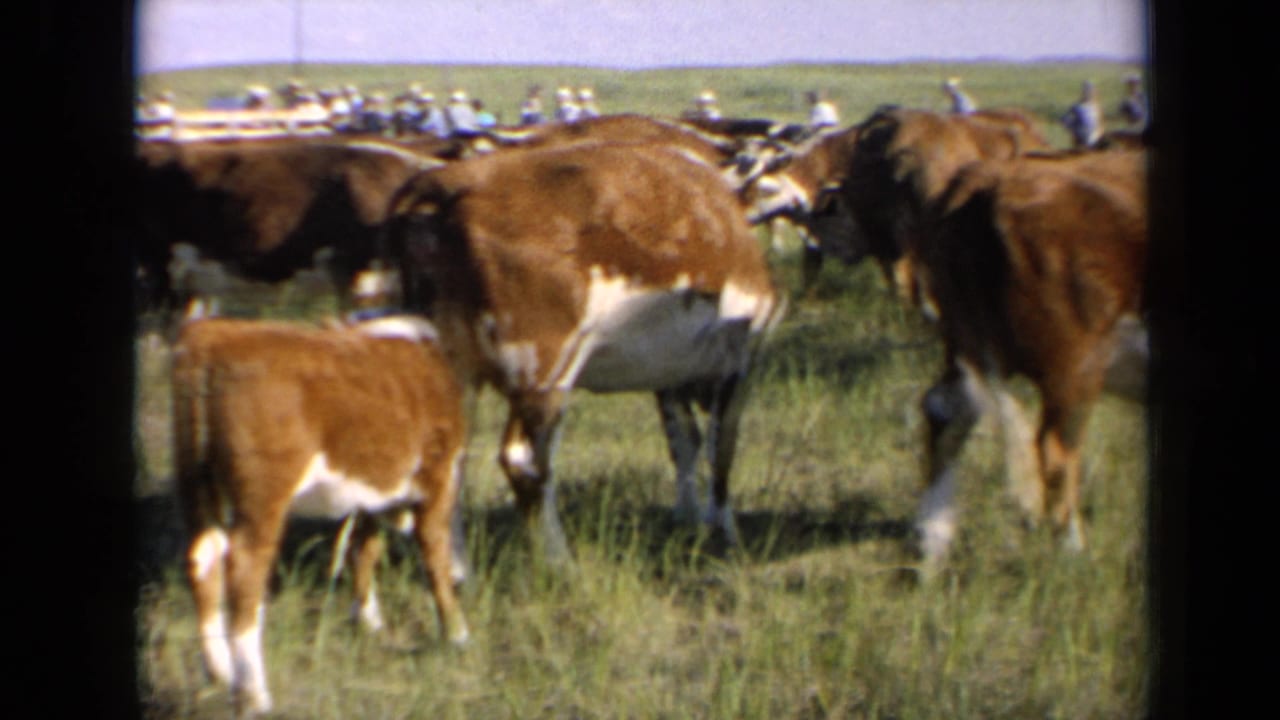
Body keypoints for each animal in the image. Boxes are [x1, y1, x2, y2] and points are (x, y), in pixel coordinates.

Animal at [171, 313, 470, 717]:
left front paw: (369, 621)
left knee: (203, 558)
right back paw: (254, 694)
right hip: (263, 492)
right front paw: (456, 633)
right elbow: (434, 555)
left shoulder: (369, 492)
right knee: (244, 569)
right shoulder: (437, 475)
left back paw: (219, 671)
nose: (465, 577)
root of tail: (215, 331)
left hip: (196, 481)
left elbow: (364, 550)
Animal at [383, 141, 785, 564]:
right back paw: (560, 563)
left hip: (454, 366)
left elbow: (684, 442)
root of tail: (445, 182)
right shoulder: (742, 354)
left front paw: (687, 518)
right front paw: (726, 533)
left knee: (450, 465)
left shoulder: (669, 372)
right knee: (525, 461)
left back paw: (459, 568)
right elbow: (721, 447)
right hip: (544, 365)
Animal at [910, 146, 1148, 564]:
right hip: (1076, 363)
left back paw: (932, 544)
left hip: (969, 345)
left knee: (944, 410)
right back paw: (1074, 556)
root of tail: (991, 175)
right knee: (1055, 452)